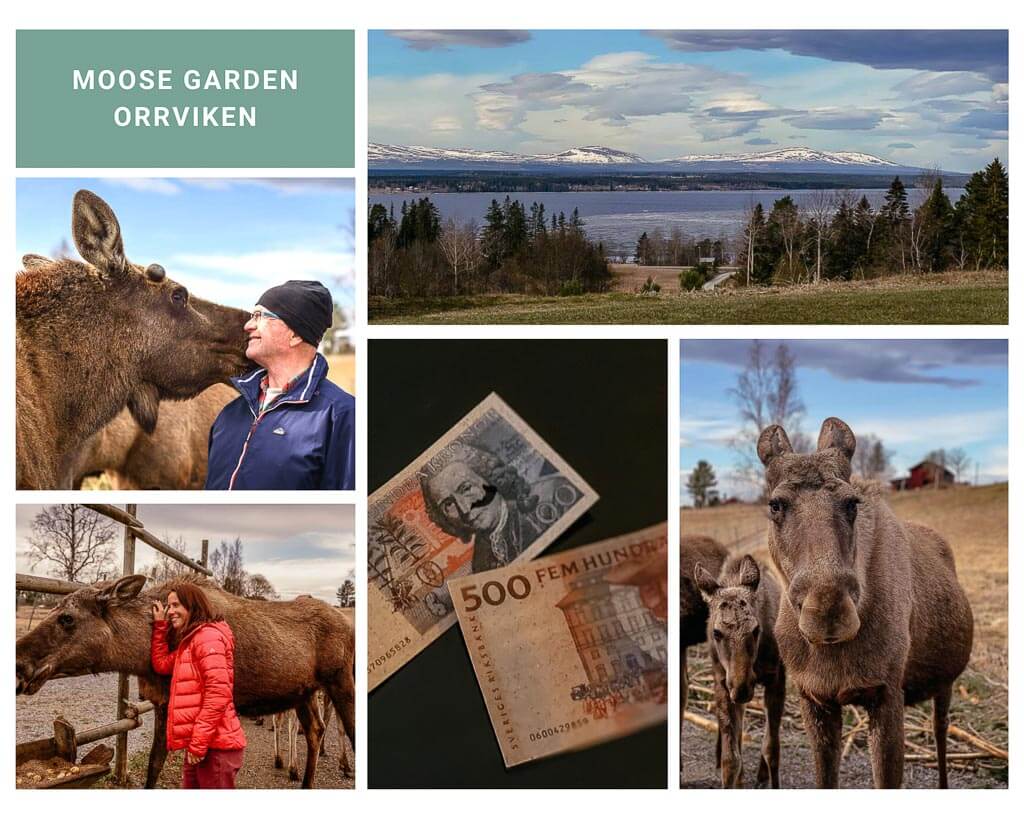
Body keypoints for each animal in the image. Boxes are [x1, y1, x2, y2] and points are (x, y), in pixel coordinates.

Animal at [757, 417, 973, 788]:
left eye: (851, 503)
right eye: (775, 504)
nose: (828, 610)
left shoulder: (885, 694)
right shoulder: (814, 699)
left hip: (946, 682)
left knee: (940, 731)